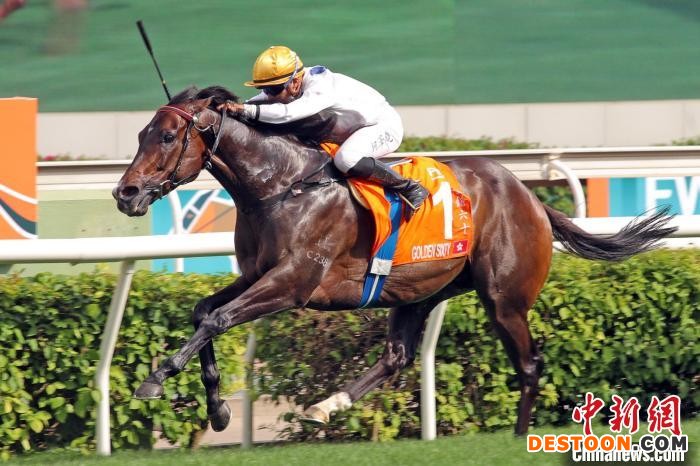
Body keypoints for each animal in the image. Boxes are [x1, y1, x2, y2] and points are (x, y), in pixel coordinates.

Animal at [113, 85, 676, 435]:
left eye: (167, 136)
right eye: (140, 134)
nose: (126, 193)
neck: (280, 186)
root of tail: (533, 198)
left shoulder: (293, 282)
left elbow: (219, 319)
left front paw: (156, 379)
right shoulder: (258, 275)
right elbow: (204, 313)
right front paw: (217, 407)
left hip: (504, 299)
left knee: (529, 363)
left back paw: (519, 436)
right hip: (420, 291)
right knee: (397, 356)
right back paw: (326, 406)